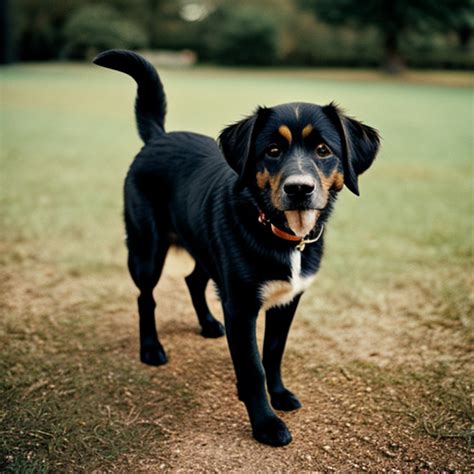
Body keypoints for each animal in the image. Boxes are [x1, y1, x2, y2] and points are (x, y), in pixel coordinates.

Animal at [94, 51, 380, 448]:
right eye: (272, 151)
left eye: (323, 150)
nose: (299, 188)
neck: (279, 231)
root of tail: (158, 138)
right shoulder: (241, 306)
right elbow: (252, 367)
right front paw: (266, 423)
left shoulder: (287, 300)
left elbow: (273, 352)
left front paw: (279, 394)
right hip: (147, 249)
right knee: (145, 297)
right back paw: (150, 348)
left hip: (204, 248)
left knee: (192, 280)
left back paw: (208, 324)